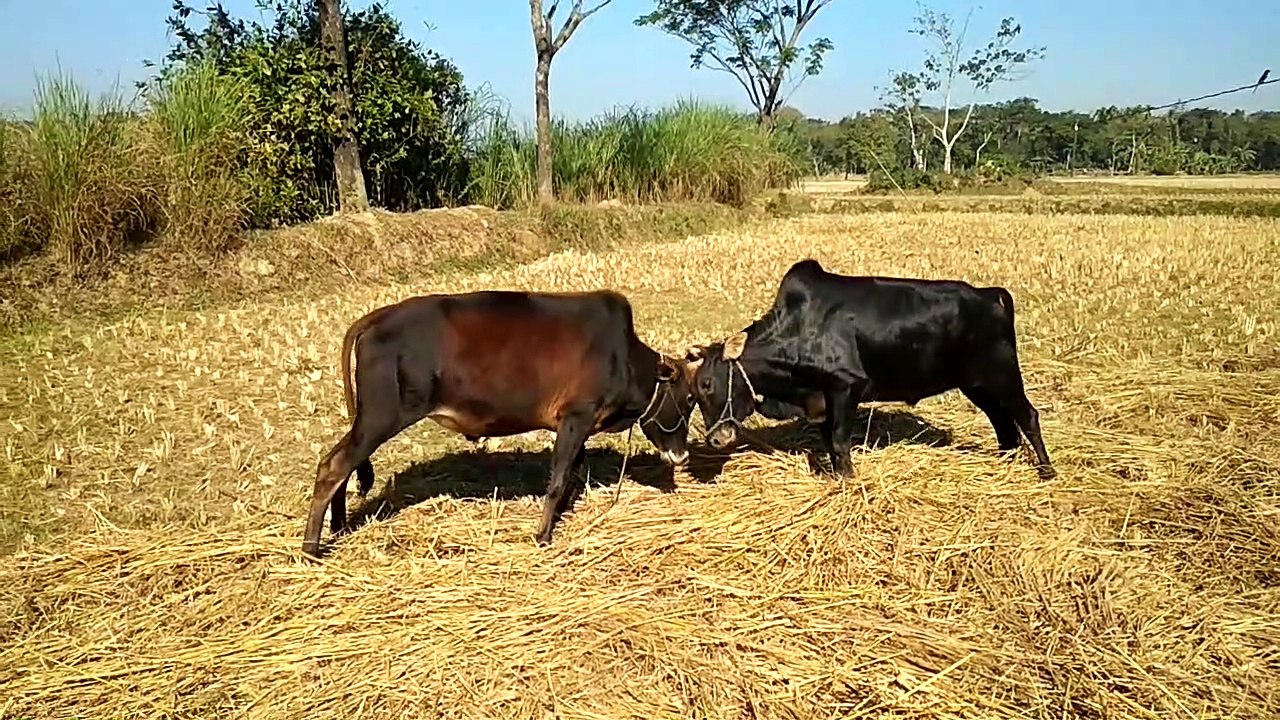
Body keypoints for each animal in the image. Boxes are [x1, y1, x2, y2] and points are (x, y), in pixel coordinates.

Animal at [302, 289, 698, 556]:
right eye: (689, 399)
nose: (681, 457)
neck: (624, 357)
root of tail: (378, 317)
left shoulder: (577, 426)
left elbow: (571, 474)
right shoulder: (576, 417)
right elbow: (557, 481)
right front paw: (542, 536)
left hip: (368, 421)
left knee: (339, 464)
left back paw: (337, 528)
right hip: (382, 417)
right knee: (333, 467)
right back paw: (311, 548)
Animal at [684, 258, 1054, 480]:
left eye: (707, 384)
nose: (715, 439)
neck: (797, 328)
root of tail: (992, 295)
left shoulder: (846, 387)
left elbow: (839, 441)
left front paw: (848, 479)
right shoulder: (825, 400)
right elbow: (829, 442)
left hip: (1004, 376)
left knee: (1027, 416)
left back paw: (1046, 471)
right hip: (976, 385)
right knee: (1002, 421)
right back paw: (1004, 462)